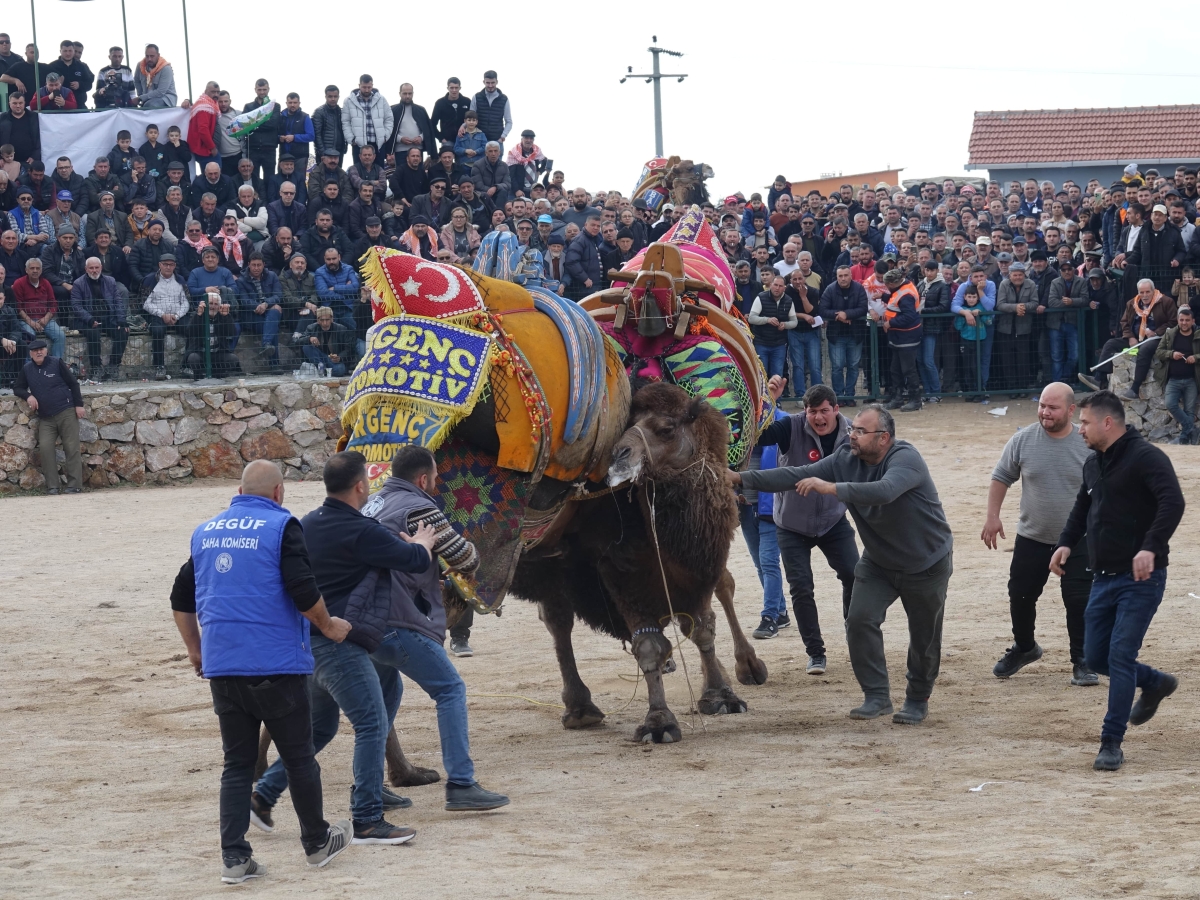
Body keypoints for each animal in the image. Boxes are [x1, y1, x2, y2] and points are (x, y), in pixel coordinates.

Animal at [511, 384, 763, 744]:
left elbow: (703, 626)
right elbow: (650, 645)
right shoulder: (621, 572)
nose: (618, 455)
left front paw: (721, 695)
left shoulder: (699, 570)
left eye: (666, 429)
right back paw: (581, 708)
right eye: (627, 424)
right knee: (558, 620)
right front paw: (659, 722)